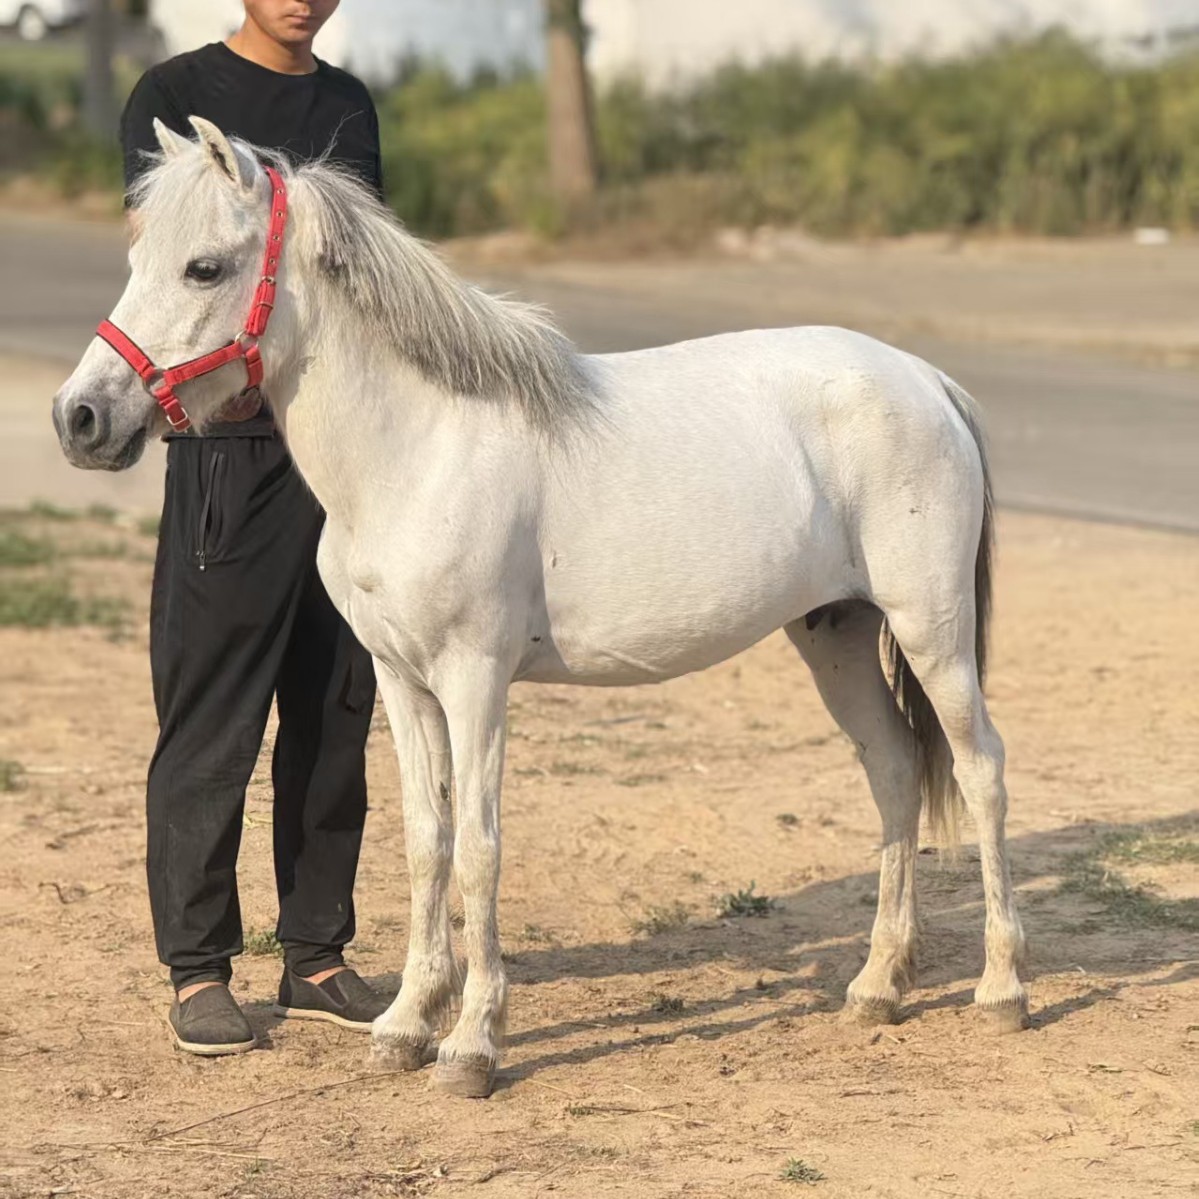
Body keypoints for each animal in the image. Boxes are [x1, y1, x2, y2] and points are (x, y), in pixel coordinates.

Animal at [53, 117, 1028, 1099]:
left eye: (204, 268)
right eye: (137, 254)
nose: (81, 417)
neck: (420, 447)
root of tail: (926, 381)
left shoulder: (475, 680)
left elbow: (480, 849)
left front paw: (472, 1044)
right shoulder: (400, 682)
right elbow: (426, 841)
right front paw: (406, 1024)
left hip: (931, 632)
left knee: (979, 768)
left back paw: (1002, 989)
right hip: (837, 634)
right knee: (894, 771)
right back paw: (877, 985)